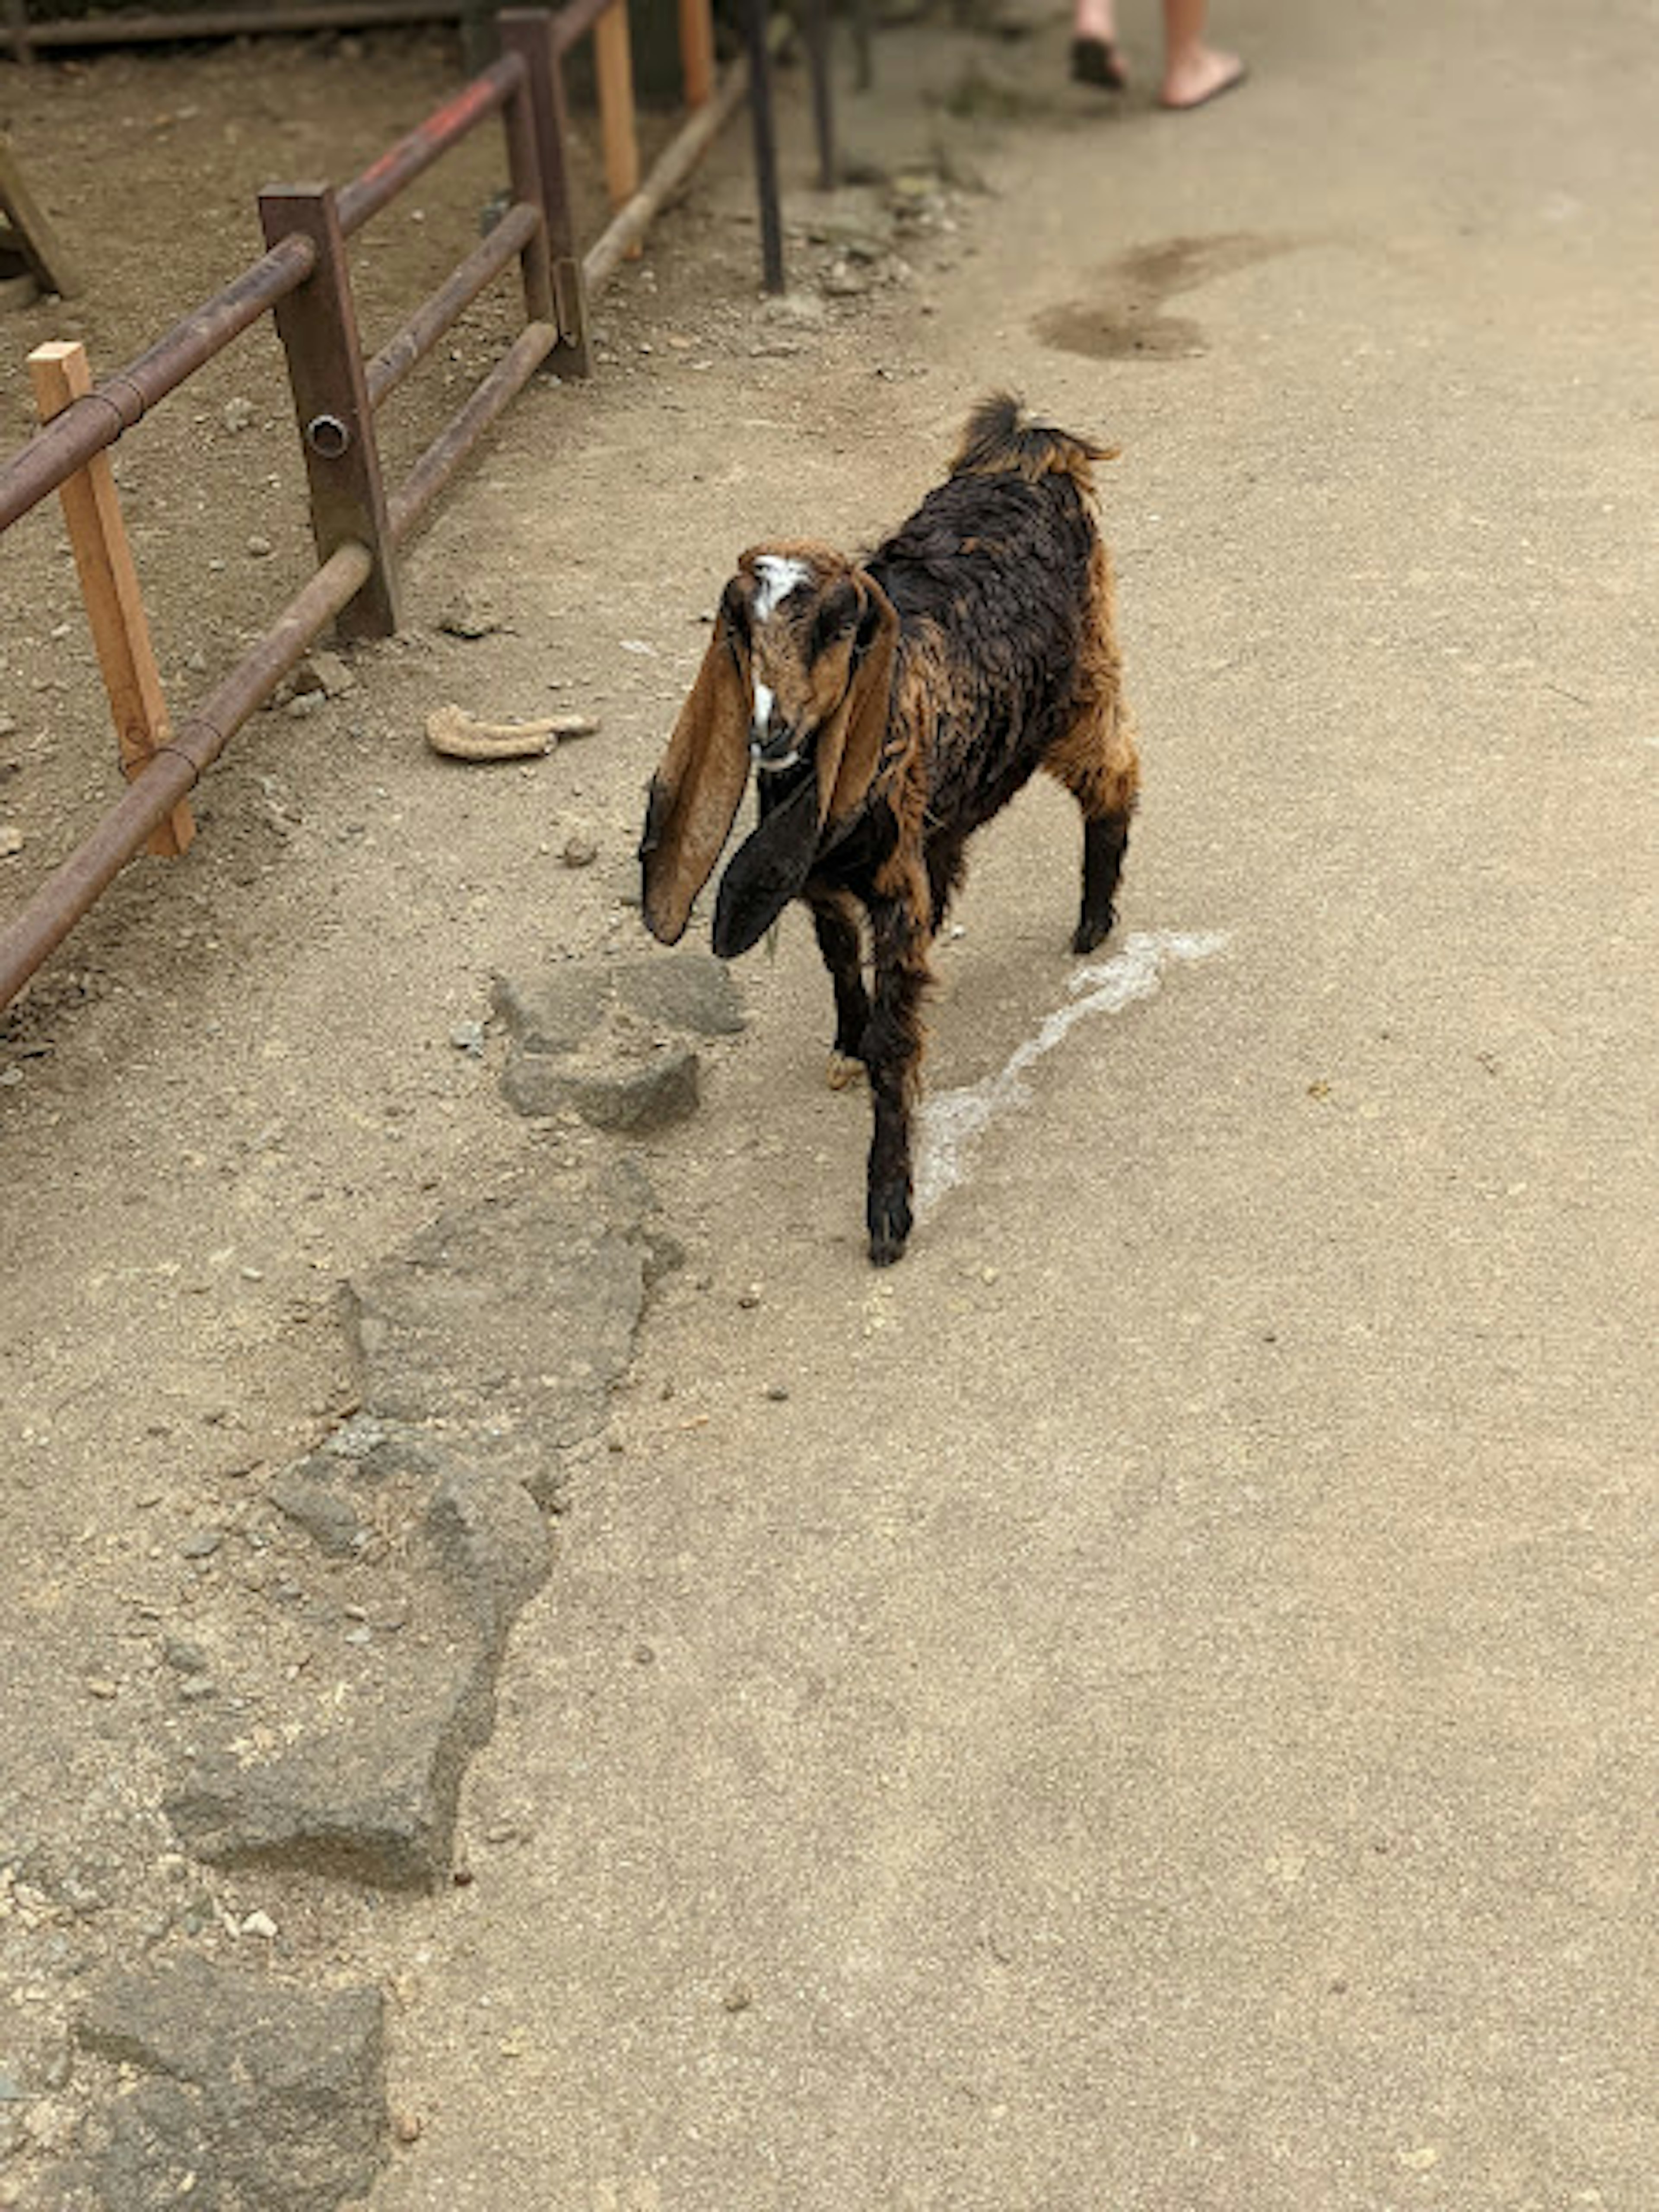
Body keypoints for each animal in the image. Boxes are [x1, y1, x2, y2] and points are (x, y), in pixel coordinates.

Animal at [641, 396, 1141, 1265]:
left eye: (839, 626)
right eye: (740, 629)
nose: (771, 731)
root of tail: (1025, 451)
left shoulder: (889, 892)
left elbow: (897, 1044)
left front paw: (888, 1211)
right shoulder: (823, 882)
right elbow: (841, 962)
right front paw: (849, 1036)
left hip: (1084, 685)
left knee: (1117, 775)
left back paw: (1092, 919)